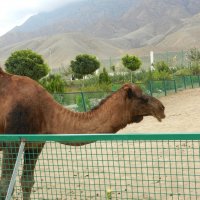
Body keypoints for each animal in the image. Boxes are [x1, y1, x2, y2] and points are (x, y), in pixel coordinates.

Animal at [0, 68, 165, 199]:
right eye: (143, 98)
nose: (161, 108)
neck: (45, 112)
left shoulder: (35, 144)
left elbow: (27, 182)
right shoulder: (12, 141)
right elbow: (5, 185)